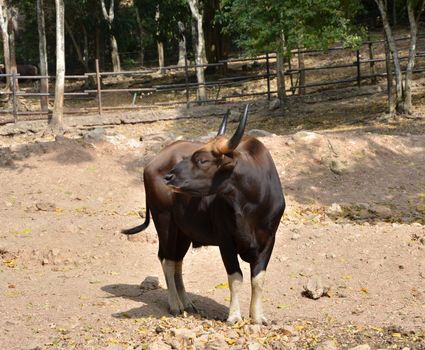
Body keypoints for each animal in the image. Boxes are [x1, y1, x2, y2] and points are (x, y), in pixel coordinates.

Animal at [124, 105, 286, 324]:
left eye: (202, 160)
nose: (169, 176)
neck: (252, 203)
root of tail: (151, 164)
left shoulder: (269, 240)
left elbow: (258, 279)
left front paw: (258, 316)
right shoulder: (226, 240)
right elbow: (235, 277)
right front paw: (234, 315)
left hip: (183, 232)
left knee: (177, 261)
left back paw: (187, 303)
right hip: (165, 222)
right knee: (167, 260)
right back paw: (175, 305)